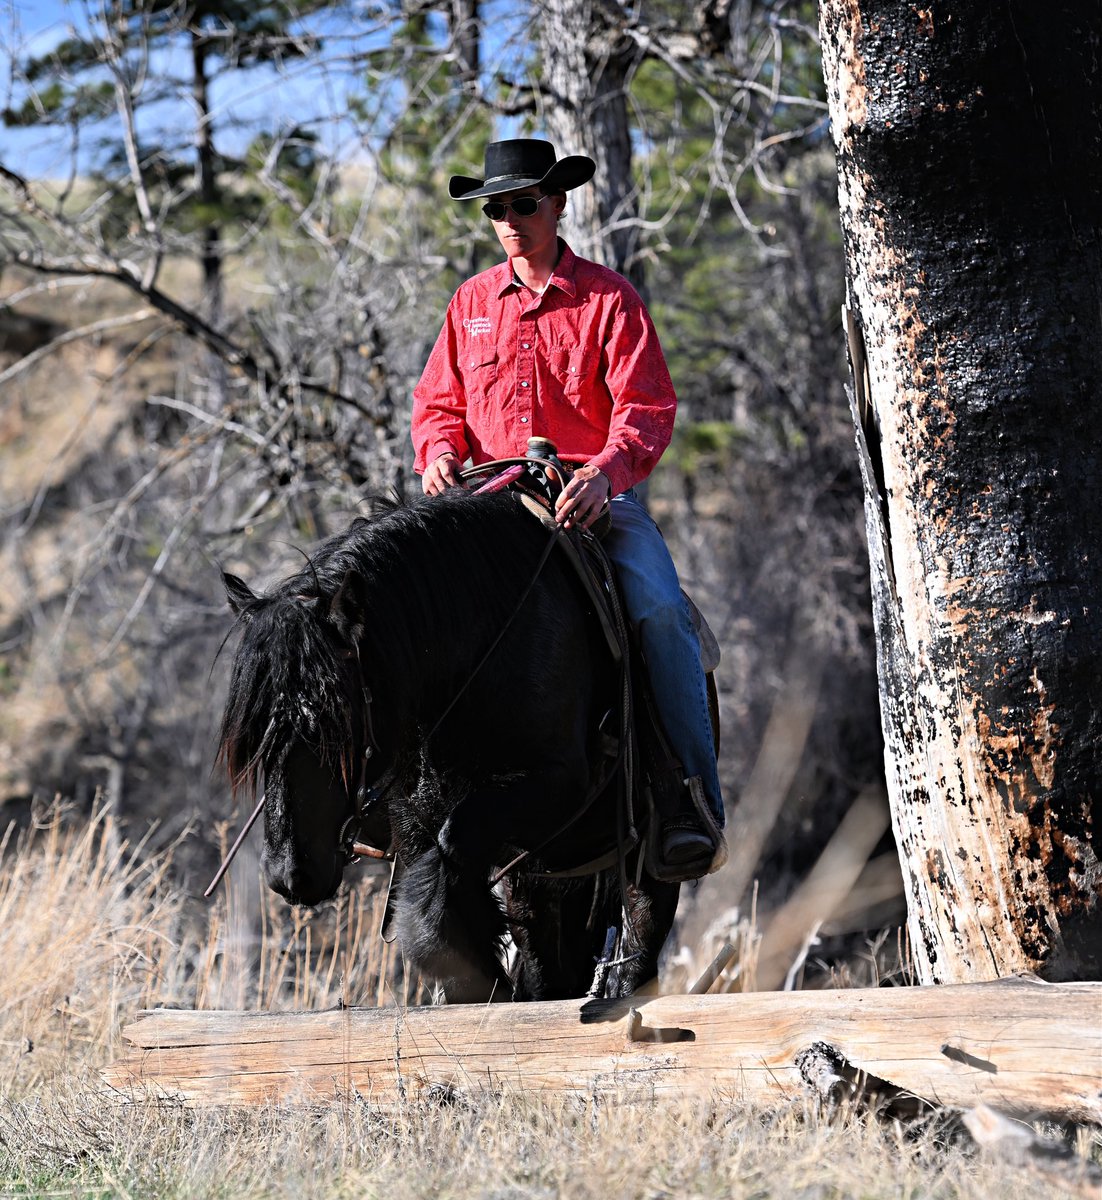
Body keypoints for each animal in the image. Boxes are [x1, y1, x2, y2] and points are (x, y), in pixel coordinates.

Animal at [217, 487, 681, 1003]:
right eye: (257, 737)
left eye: (327, 725)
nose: (287, 875)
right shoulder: (416, 817)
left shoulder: (559, 786)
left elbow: (452, 844)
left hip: (638, 868)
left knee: (638, 945)